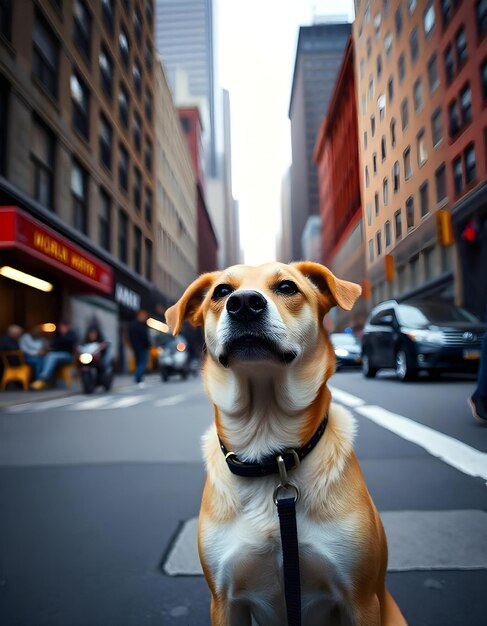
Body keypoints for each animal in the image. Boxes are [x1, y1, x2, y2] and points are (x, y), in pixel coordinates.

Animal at [165, 260, 408, 624]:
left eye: (286, 287)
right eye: (221, 292)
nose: (244, 304)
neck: (269, 450)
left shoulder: (361, 600)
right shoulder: (224, 601)